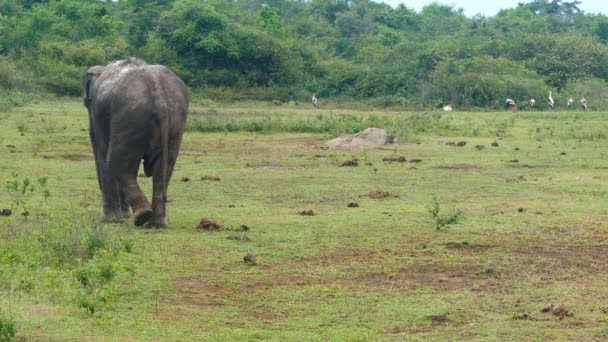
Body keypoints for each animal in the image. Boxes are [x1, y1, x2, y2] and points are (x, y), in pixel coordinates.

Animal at [83, 57, 188, 226]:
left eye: (86, 103)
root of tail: (157, 92)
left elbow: (103, 155)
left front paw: (109, 220)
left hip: (129, 117)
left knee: (114, 161)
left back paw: (142, 216)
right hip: (175, 119)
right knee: (164, 167)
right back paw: (156, 223)